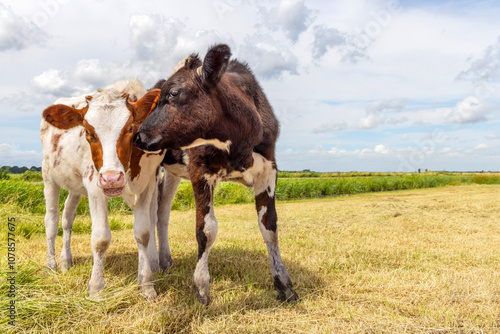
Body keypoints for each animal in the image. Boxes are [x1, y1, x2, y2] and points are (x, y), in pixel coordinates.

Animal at [40, 79, 164, 298]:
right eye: (88, 132)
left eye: (130, 129)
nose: (111, 178)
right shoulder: (95, 185)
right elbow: (100, 239)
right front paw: (96, 289)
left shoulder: (148, 184)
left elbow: (143, 233)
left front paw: (147, 285)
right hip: (49, 176)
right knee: (52, 220)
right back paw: (51, 264)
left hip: (75, 185)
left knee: (67, 217)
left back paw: (65, 261)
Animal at [134, 43, 296, 302]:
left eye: (173, 93)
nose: (138, 135)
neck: (239, 144)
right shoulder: (200, 171)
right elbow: (206, 230)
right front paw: (201, 286)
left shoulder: (268, 170)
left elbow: (269, 226)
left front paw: (284, 284)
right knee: (148, 215)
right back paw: (150, 271)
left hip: (173, 173)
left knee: (161, 211)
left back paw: (164, 261)